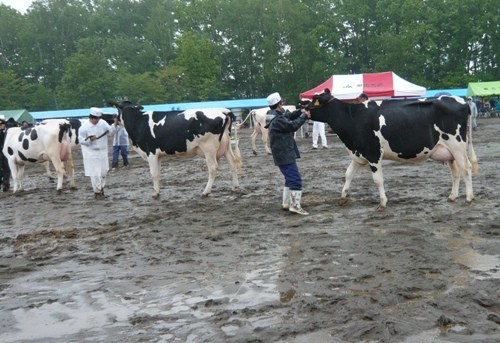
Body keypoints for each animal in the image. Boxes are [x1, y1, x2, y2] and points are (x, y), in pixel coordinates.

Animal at [109, 100, 242, 199]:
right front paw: (157, 191)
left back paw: (206, 191)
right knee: (232, 163)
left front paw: (155, 193)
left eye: (117, 109)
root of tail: (223, 110)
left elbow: (153, 174)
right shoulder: (157, 155)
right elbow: (158, 173)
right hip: (226, 145)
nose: (113, 118)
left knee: (213, 168)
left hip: (209, 148)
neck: (138, 122)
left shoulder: (151, 152)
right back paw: (234, 187)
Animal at [306, 89, 478, 210]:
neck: (353, 117)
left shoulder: (373, 153)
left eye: (314, 100)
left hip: (457, 145)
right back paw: (452, 196)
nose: (302, 106)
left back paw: (469, 198)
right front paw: (343, 197)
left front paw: (382, 202)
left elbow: (378, 180)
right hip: (449, 151)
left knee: (466, 168)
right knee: (456, 173)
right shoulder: (359, 154)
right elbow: (348, 174)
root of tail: (462, 102)